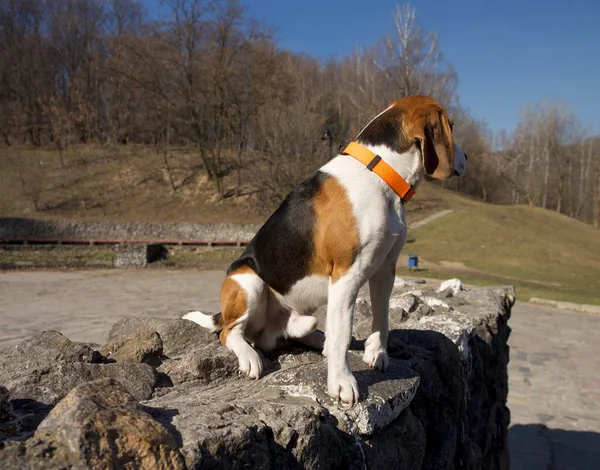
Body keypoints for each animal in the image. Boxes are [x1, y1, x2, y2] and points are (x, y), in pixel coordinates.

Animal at [185, 94, 466, 404]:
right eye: (452, 125)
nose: (466, 158)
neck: (381, 171)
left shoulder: (385, 269)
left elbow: (381, 317)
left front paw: (377, 353)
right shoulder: (346, 275)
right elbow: (343, 333)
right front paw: (342, 382)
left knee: (295, 331)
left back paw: (319, 338)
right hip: (247, 281)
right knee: (230, 332)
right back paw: (250, 355)